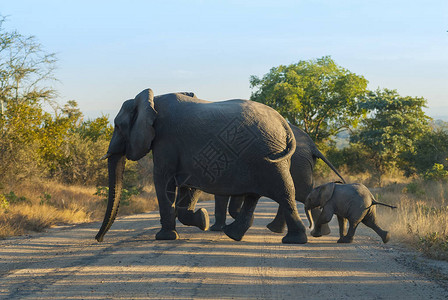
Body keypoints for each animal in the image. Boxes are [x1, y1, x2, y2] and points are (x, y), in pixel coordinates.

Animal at [96, 88, 310, 244]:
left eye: (117, 126)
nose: (99, 239)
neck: (152, 100)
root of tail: (284, 123)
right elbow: (187, 185)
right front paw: (203, 220)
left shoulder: (166, 140)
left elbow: (163, 181)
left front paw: (166, 237)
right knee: (256, 195)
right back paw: (234, 234)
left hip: (267, 156)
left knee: (282, 192)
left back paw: (293, 240)